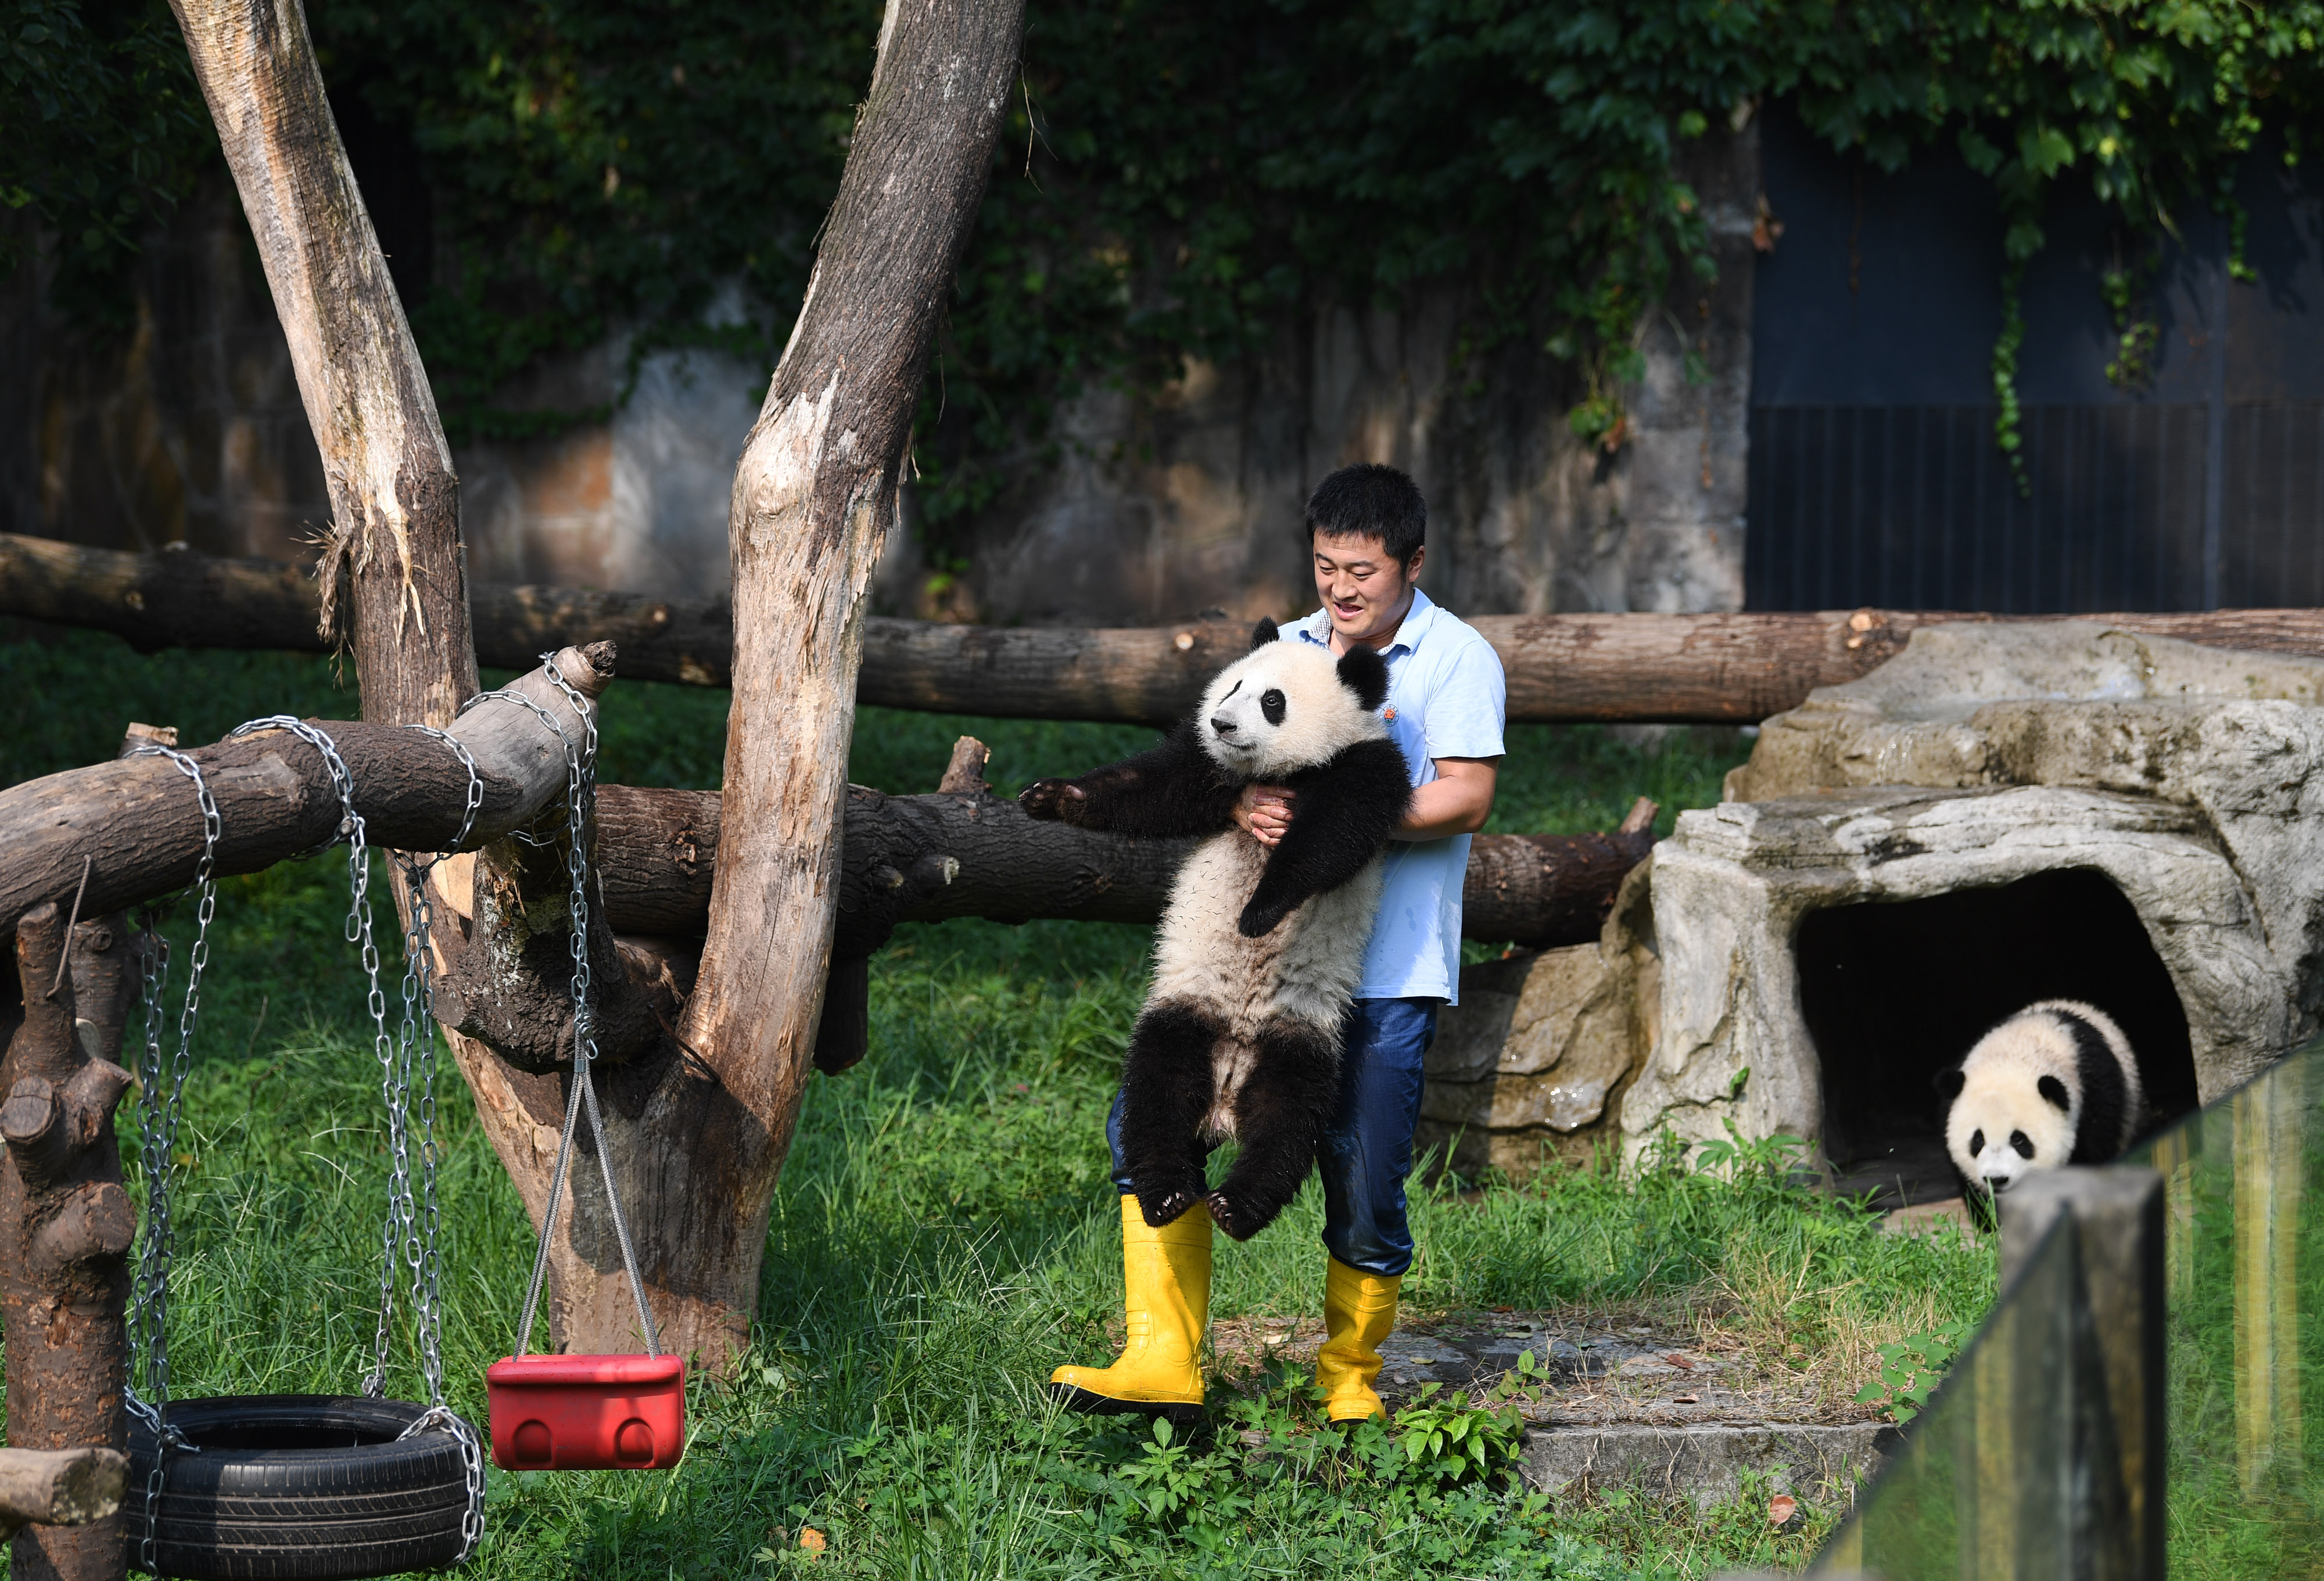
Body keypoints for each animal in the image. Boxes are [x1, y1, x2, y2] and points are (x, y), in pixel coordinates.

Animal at [1023, 623, 1413, 1237]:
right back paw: (1167, 1194)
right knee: (1158, 1091)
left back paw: (1237, 1205)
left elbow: (1331, 837)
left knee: (1287, 1124)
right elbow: (1151, 789)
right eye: (1233, 686)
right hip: (1185, 1012)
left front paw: (1258, 912)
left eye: (1273, 701)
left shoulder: (1365, 764)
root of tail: (1226, 1101)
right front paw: (1052, 796)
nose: (1222, 724)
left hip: (1300, 1037)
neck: (1279, 771)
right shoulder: (1205, 763)